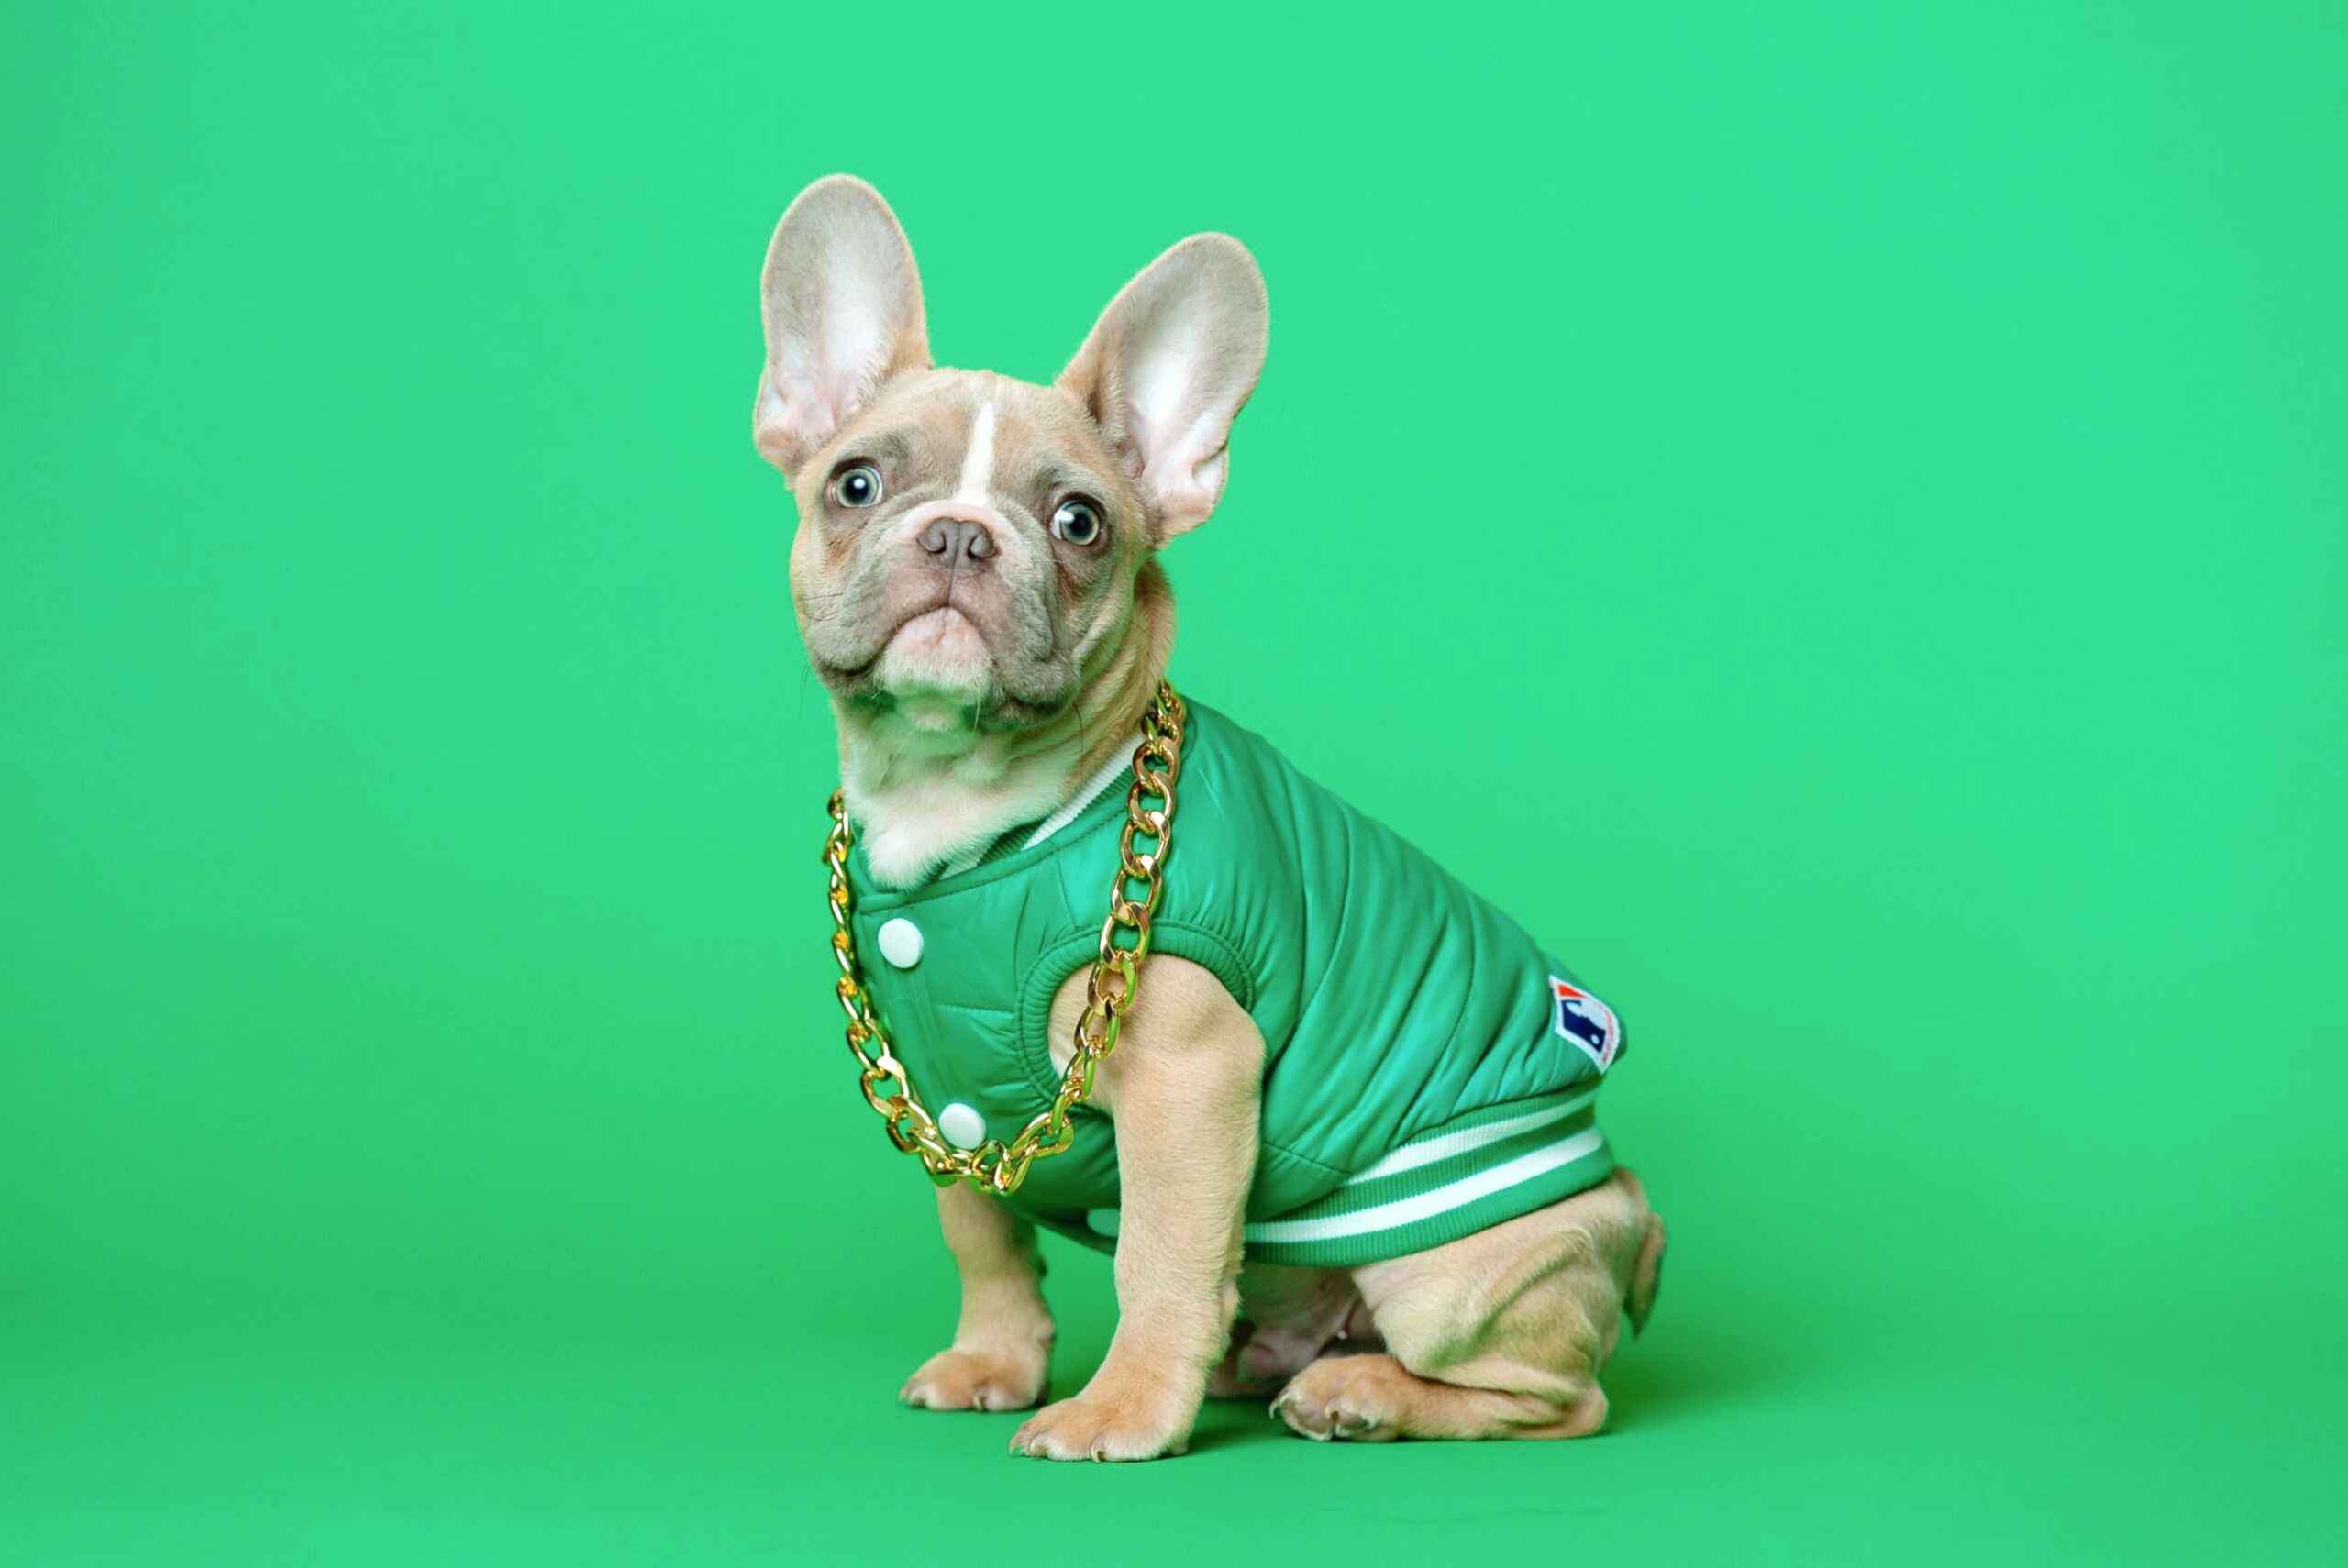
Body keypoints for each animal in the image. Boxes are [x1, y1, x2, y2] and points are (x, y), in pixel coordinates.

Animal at [760, 177, 1662, 1464]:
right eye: (854, 484)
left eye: (1080, 523)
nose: (961, 534)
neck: (967, 817)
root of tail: (1629, 1211)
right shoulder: (944, 1098)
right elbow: (981, 1239)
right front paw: (995, 1362)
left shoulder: (1189, 1082)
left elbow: (1161, 1260)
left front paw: (1124, 1410)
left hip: (1452, 1267)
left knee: (1556, 1399)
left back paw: (1363, 1396)